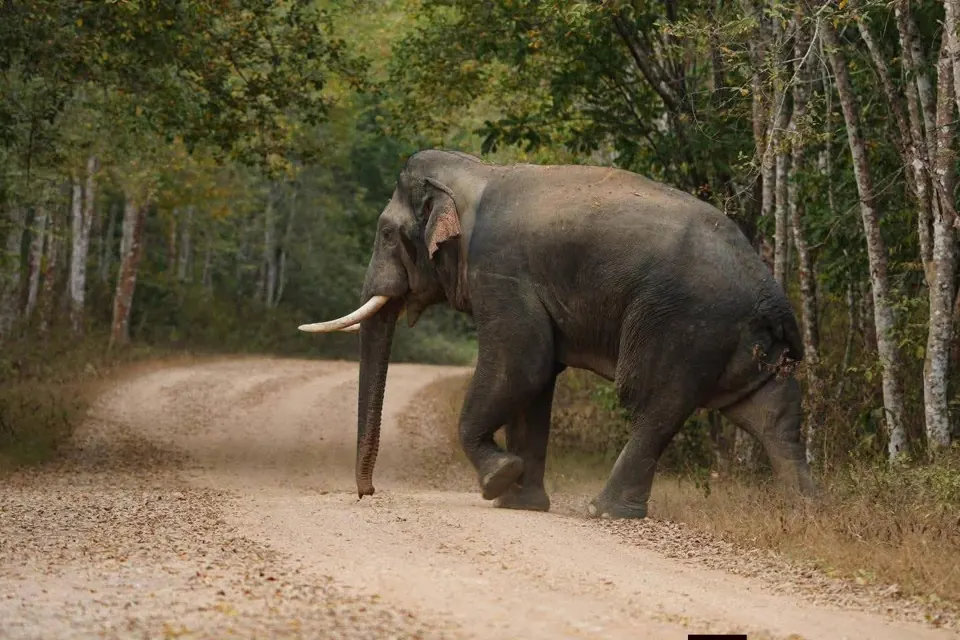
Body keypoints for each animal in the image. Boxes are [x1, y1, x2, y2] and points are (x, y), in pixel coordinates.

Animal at [299, 149, 816, 519]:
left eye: (387, 234)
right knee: (771, 413)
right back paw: (805, 515)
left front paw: (499, 480)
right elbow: (537, 379)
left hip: (686, 325)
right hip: (742, 342)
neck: (478, 173)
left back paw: (605, 511)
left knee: (654, 402)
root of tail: (772, 294)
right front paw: (520, 502)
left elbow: (521, 363)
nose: (367, 492)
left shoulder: (501, 270)